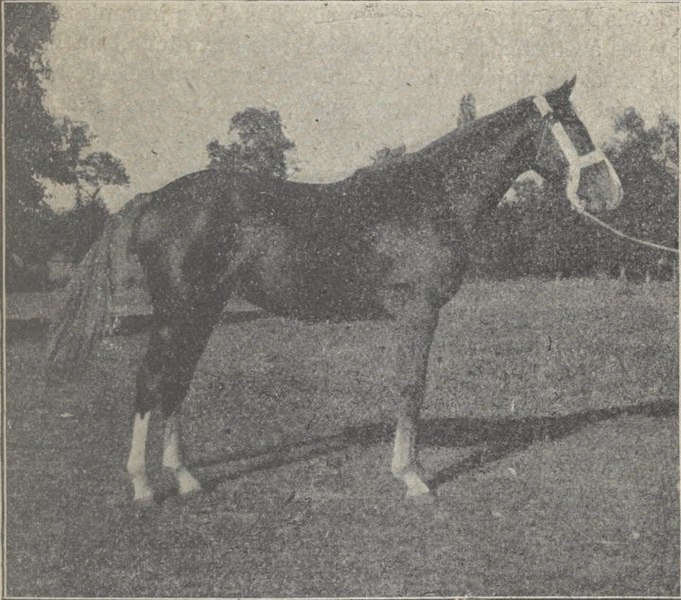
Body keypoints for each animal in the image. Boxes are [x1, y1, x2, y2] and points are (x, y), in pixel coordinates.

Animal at [46, 78, 620, 502]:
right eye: (575, 127)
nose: (609, 193)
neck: (431, 194)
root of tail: (153, 199)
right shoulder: (418, 311)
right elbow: (411, 386)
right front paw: (413, 478)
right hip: (177, 311)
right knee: (151, 381)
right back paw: (144, 486)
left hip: (201, 311)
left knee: (176, 381)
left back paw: (186, 478)